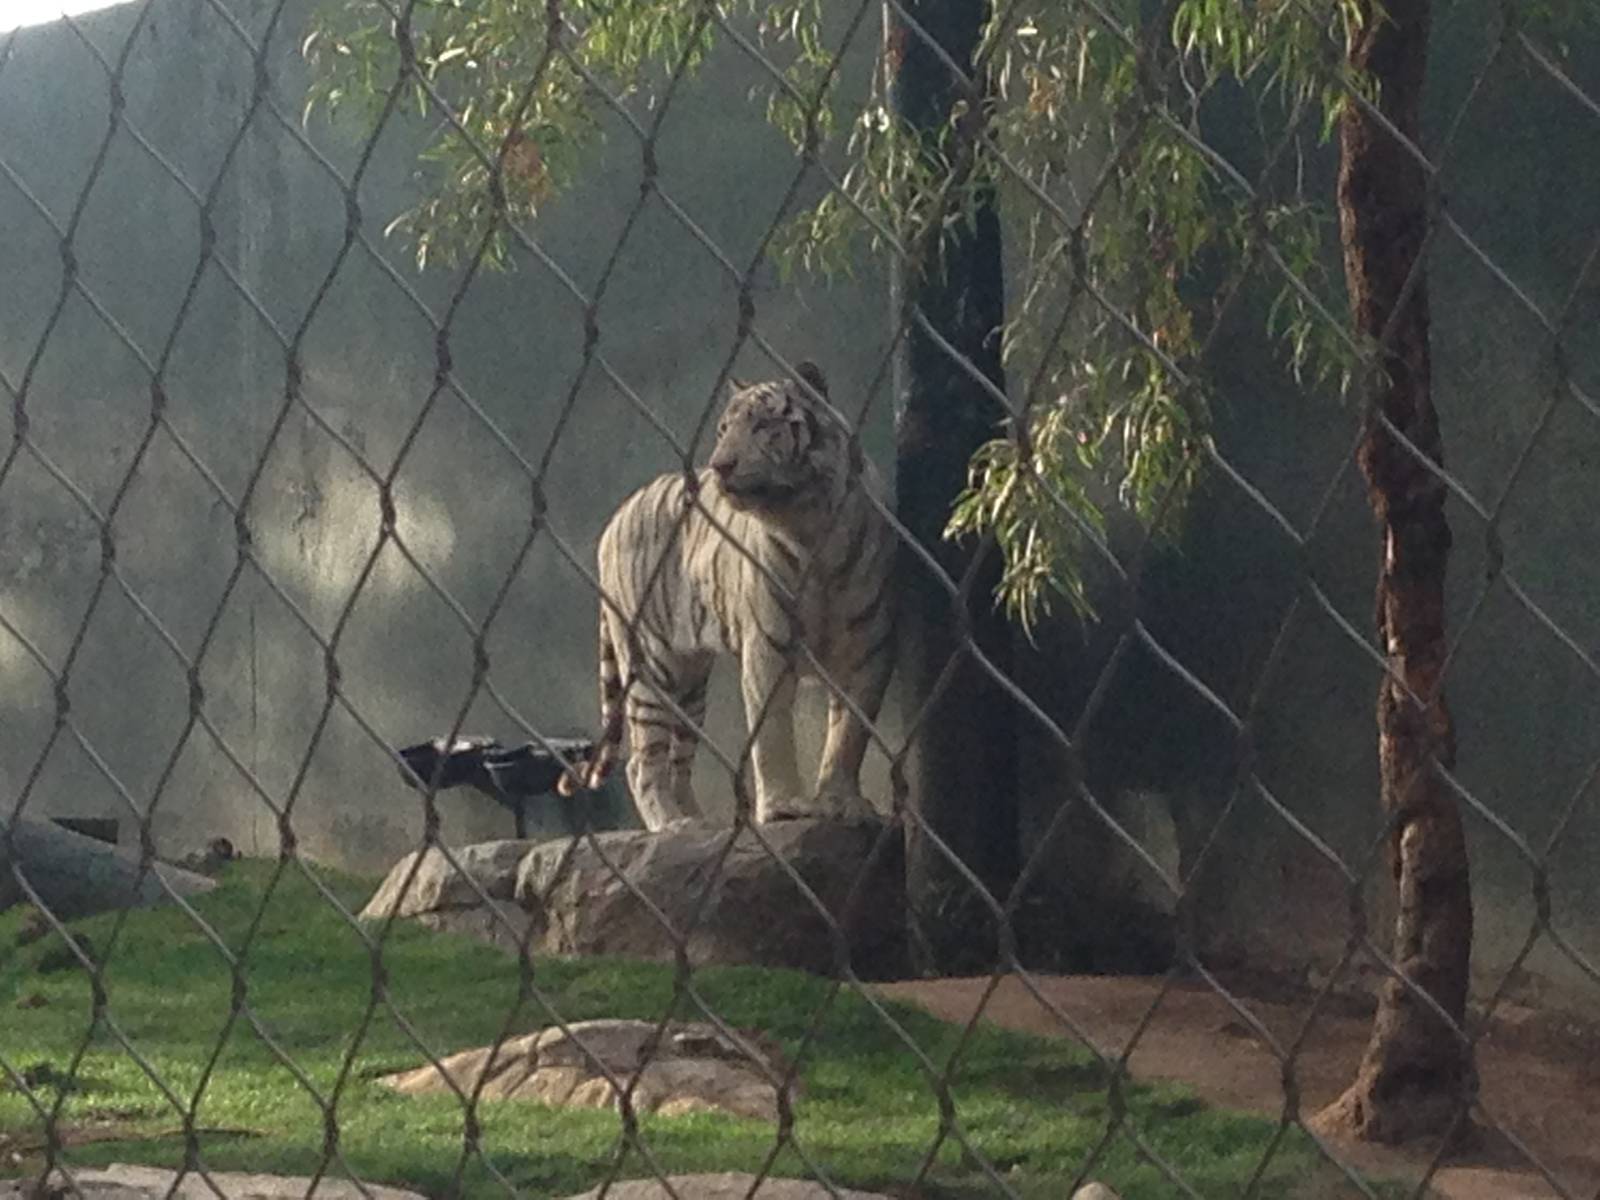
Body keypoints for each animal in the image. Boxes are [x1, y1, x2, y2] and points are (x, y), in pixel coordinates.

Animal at [557, 361, 896, 831]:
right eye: (723, 429)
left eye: (762, 425)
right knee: (642, 761)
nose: (720, 465)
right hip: (653, 666)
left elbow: (849, 734)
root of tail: (615, 520)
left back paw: (700, 821)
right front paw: (783, 805)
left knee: (678, 761)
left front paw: (841, 800)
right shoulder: (767, 646)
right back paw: (671, 824)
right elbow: (772, 732)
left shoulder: (869, 652)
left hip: (690, 683)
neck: (811, 530)